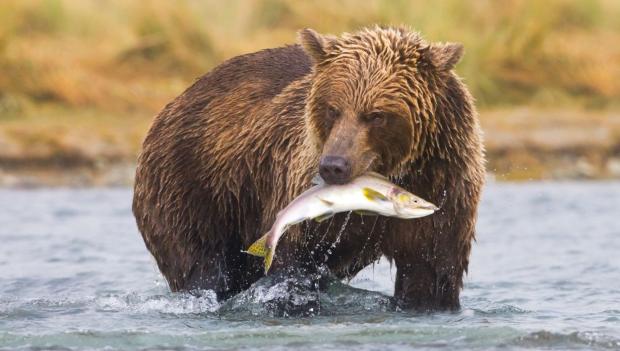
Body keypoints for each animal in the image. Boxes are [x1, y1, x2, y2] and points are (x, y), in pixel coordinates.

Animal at [133, 26, 486, 310]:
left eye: (376, 115)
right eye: (333, 108)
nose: (333, 166)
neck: (399, 170)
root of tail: (173, 104)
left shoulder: (445, 186)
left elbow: (432, 273)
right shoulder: (296, 185)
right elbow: (291, 265)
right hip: (194, 187)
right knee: (203, 267)